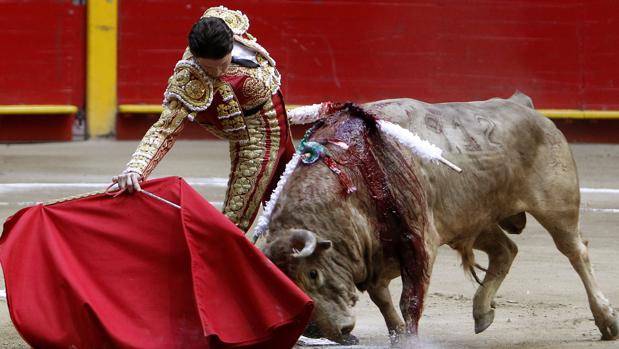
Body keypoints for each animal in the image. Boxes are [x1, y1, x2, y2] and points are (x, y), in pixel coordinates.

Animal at [256, 92, 619, 342]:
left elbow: (409, 301)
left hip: (557, 208)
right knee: (506, 250)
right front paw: (397, 335)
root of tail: (524, 105)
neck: (353, 170)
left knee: (576, 252)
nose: (315, 330)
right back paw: (481, 311)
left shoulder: (418, 242)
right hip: (474, 218)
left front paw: (409, 340)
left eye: (313, 273)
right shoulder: (376, 251)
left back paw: (606, 320)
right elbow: (382, 299)